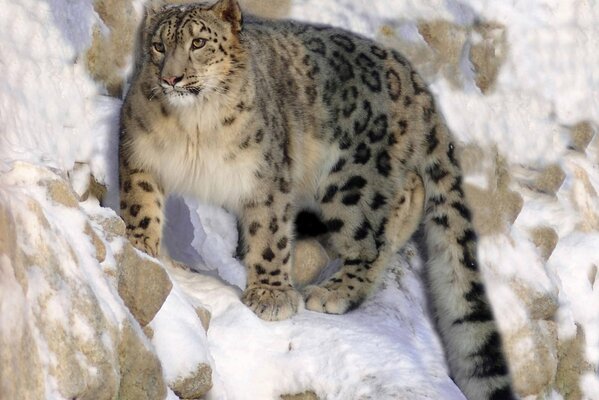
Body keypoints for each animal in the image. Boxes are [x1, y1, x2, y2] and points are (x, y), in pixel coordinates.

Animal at [117, 1, 516, 398]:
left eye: (198, 42)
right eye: (158, 46)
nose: (172, 78)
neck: (194, 127)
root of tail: (415, 80)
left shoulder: (267, 176)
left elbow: (270, 236)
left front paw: (271, 295)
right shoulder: (140, 153)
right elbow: (140, 204)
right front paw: (142, 247)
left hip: (353, 183)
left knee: (374, 233)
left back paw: (335, 291)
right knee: (410, 194)